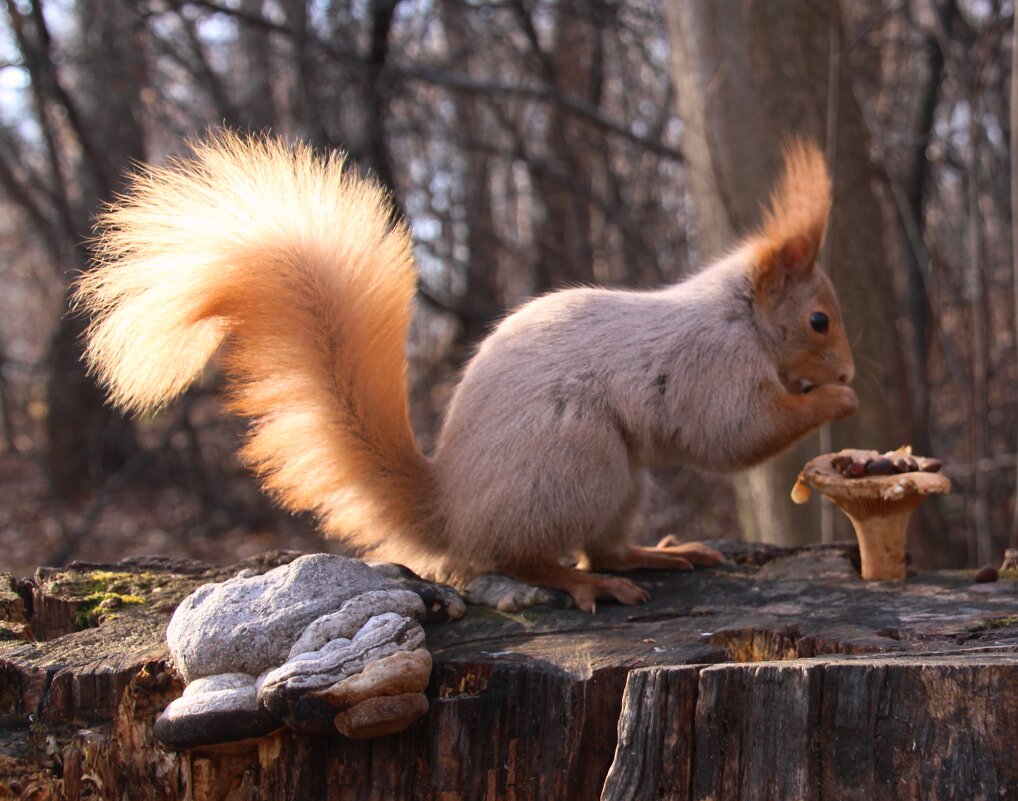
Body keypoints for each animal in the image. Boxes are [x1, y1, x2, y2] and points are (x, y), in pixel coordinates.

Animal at [75, 131, 859, 614]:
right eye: (819, 320)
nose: (850, 367)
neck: (738, 315)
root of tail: (453, 513)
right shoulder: (708, 367)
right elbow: (734, 434)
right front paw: (835, 401)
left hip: (615, 482)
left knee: (601, 543)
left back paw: (653, 555)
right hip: (578, 466)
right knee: (517, 558)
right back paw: (583, 581)